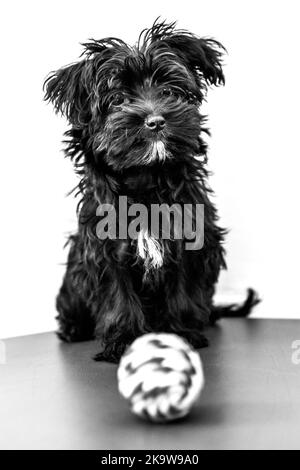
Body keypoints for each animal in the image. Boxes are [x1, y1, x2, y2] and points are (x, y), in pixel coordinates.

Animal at [44, 19, 258, 364]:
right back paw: (74, 329)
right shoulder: (107, 249)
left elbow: (183, 289)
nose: (155, 120)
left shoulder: (192, 238)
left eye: (169, 91)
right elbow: (118, 296)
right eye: (118, 99)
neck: (146, 179)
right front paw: (123, 340)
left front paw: (181, 334)